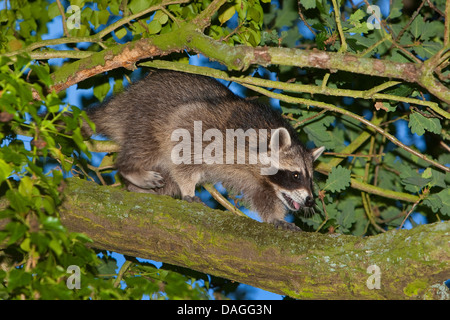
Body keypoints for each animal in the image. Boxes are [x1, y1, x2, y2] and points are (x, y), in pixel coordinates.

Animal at [85, 70, 324, 231]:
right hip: (144, 113)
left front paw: (276, 217)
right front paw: (188, 188)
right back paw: (131, 169)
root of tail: (122, 99)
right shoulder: (206, 126)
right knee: (146, 145)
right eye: (295, 175)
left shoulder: (258, 182)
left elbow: (264, 197)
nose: (310, 201)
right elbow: (184, 145)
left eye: (311, 179)